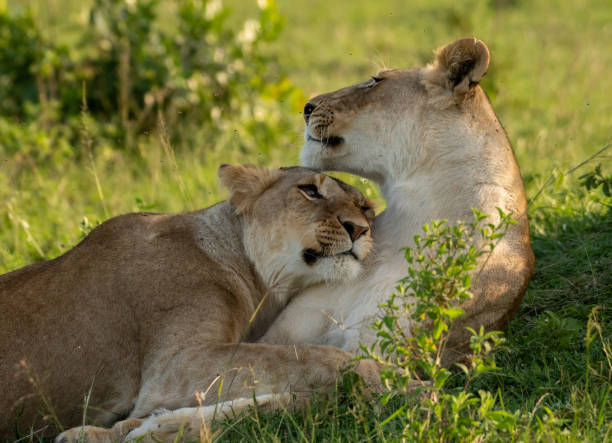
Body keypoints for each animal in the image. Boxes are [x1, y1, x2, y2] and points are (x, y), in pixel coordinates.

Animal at [1, 165, 382, 442]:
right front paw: (372, 373)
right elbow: (309, 357)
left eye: (366, 208)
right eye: (310, 190)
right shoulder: (174, 365)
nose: (359, 229)